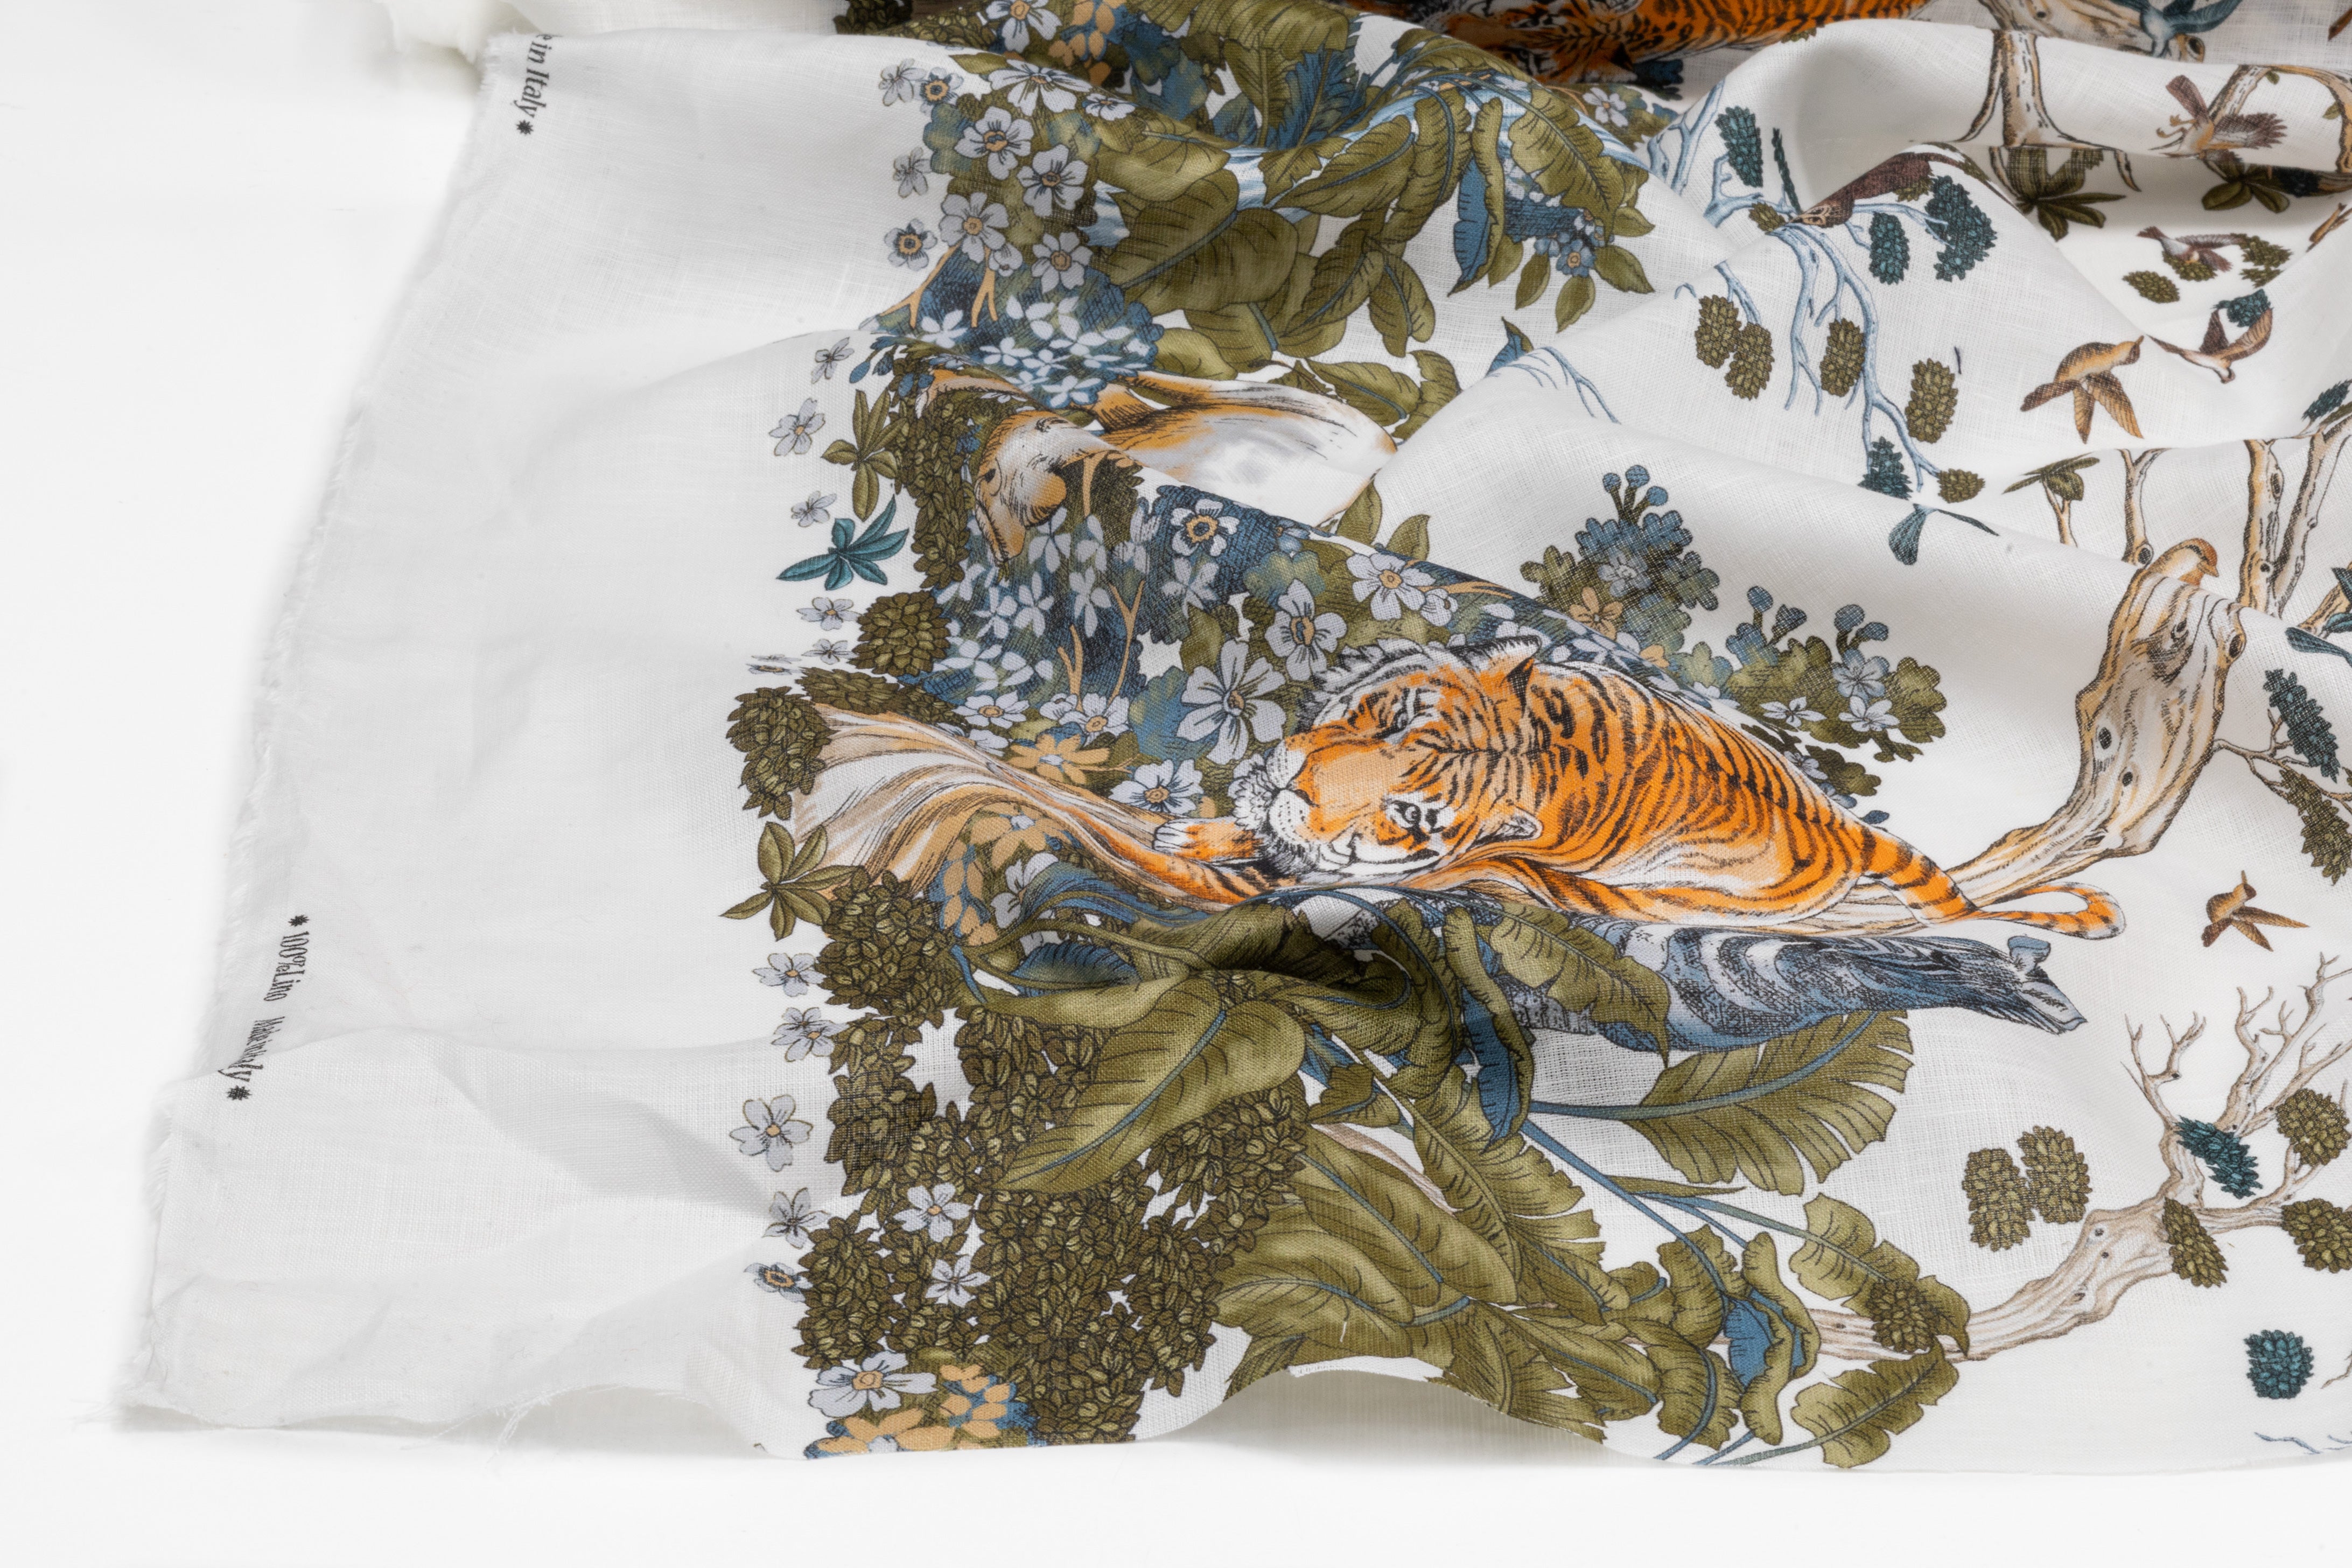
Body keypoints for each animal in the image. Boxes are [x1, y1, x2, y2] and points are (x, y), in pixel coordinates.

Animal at [1146, 635, 2121, 937]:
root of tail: (1837, 824)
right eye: (1392, 718)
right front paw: (1197, 827)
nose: (1299, 790)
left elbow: (1287, 865)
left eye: (1409, 813)